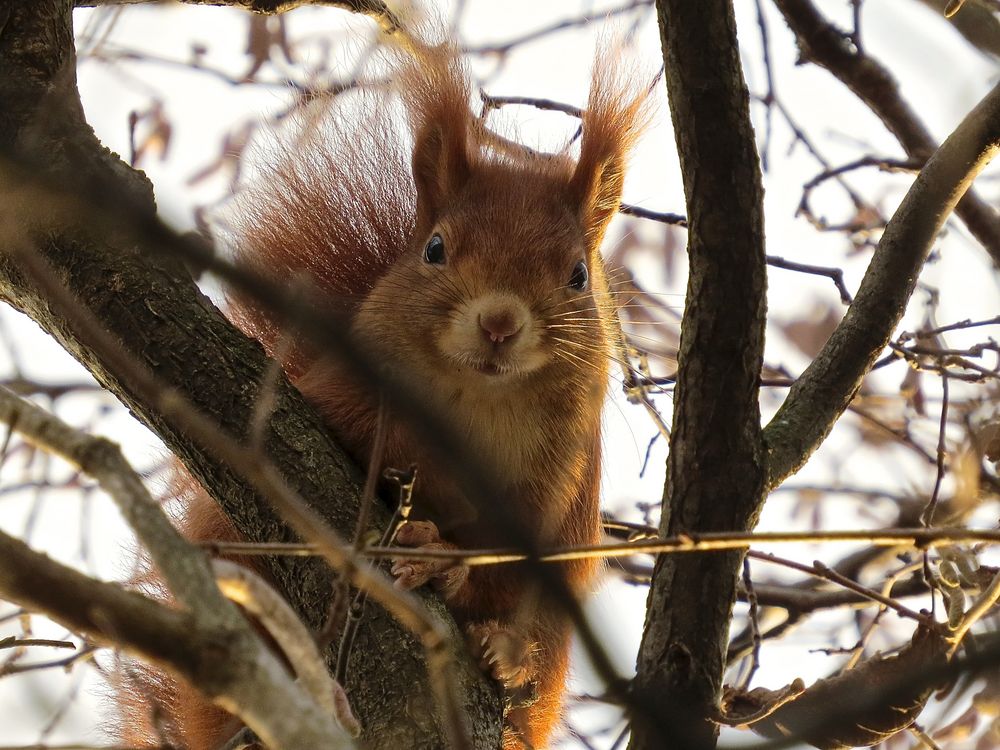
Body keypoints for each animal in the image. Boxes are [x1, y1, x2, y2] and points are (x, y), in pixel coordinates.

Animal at [115, 30, 648, 750]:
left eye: (577, 276)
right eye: (434, 248)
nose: (499, 323)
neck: (480, 400)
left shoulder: (557, 479)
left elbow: (507, 564)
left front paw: (446, 561)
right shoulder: (343, 393)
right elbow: (352, 432)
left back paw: (508, 658)